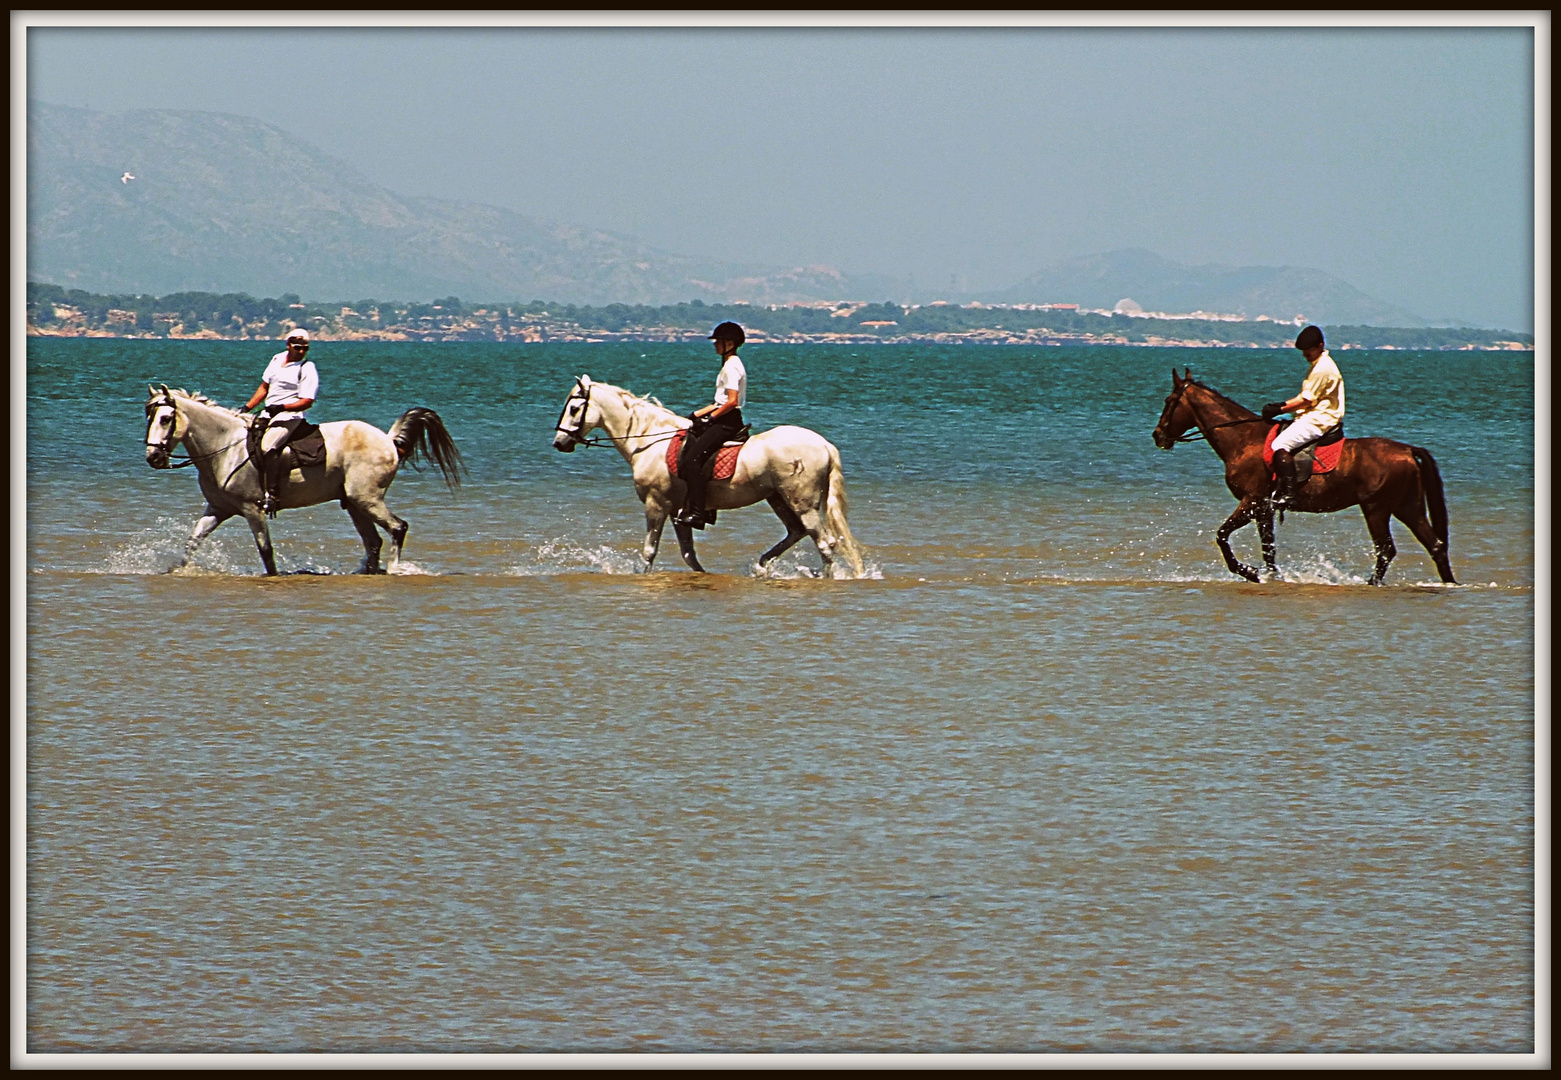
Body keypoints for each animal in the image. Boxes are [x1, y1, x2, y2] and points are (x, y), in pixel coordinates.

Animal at [144, 385, 462, 577]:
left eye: (166, 418)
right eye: (149, 417)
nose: (153, 457)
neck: (225, 447)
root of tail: (387, 440)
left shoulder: (252, 509)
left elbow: (266, 550)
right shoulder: (218, 508)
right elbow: (191, 543)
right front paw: (175, 572)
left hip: (366, 499)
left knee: (398, 527)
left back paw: (395, 570)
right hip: (355, 504)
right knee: (373, 542)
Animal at [549, 373, 867, 574]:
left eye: (575, 408)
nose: (559, 443)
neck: (649, 441)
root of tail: (824, 445)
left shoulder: (657, 505)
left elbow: (650, 551)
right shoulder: (678, 511)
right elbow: (689, 555)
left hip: (803, 503)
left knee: (824, 543)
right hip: (777, 498)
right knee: (796, 532)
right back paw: (762, 566)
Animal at [1148, 371, 1448, 589]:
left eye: (1168, 402)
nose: (1158, 435)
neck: (1244, 440)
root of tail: (1406, 450)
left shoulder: (1252, 502)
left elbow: (1222, 536)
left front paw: (1249, 572)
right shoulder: (1264, 510)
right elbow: (1268, 549)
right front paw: (1272, 576)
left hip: (1377, 509)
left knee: (1386, 550)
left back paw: (1372, 583)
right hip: (1407, 507)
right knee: (1435, 545)